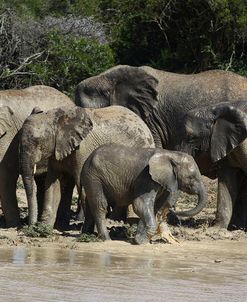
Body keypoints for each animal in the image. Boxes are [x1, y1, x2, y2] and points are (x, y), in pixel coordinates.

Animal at [19, 105, 154, 225]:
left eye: (37, 141)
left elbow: (82, 182)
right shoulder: (56, 150)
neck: (55, 118)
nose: (30, 225)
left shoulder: (83, 149)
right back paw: (114, 220)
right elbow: (52, 184)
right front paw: (43, 228)